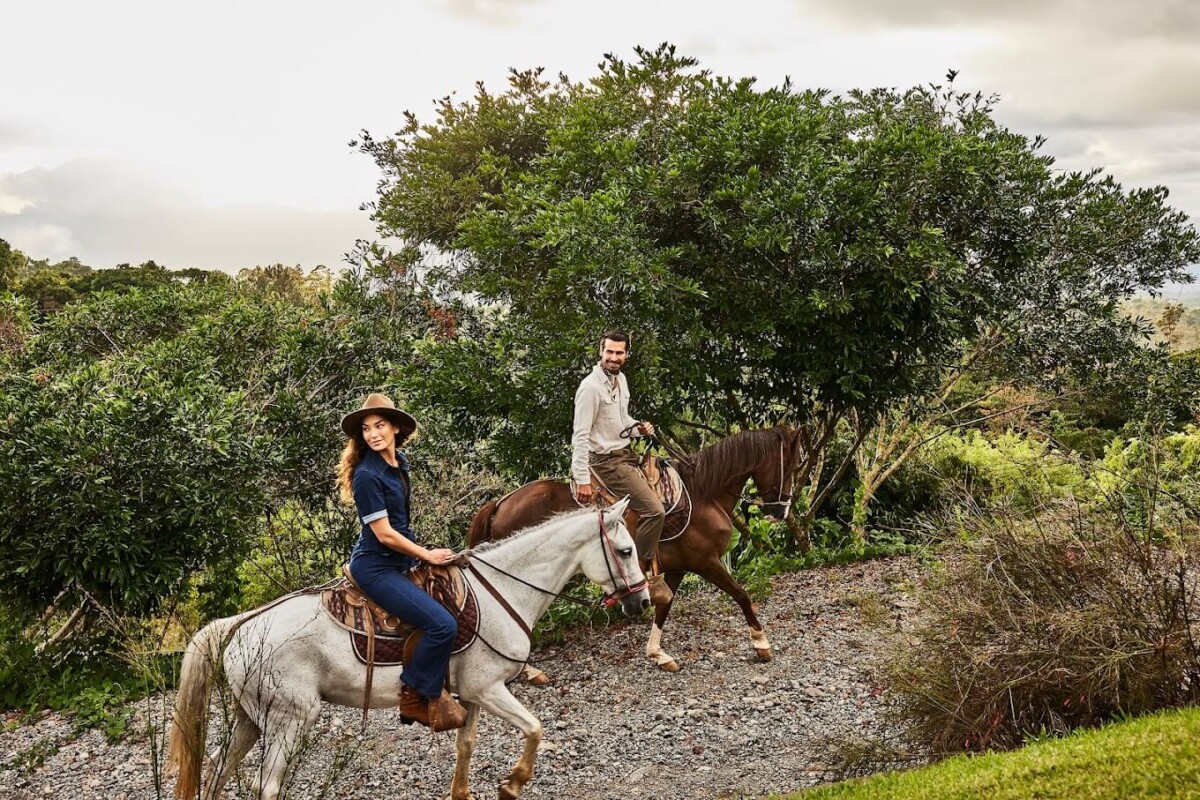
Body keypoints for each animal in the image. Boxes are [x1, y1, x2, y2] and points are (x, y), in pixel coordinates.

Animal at [167, 499, 648, 800]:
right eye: (625, 550)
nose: (642, 601)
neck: (501, 590)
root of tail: (242, 625)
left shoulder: (472, 696)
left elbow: (466, 747)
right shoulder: (490, 689)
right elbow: (534, 729)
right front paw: (512, 784)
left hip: (251, 718)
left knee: (216, 770)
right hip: (291, 718)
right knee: (266, 785)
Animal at [468, 426, 802, 676]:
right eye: (792, 465)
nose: (782, 510)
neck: (703, 496)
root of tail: (500, 503)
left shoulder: (678, 567)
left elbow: (665, 606)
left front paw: (657, 653)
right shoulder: (706, 562)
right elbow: (742, 595)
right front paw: (761, 643)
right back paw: (528, 670)